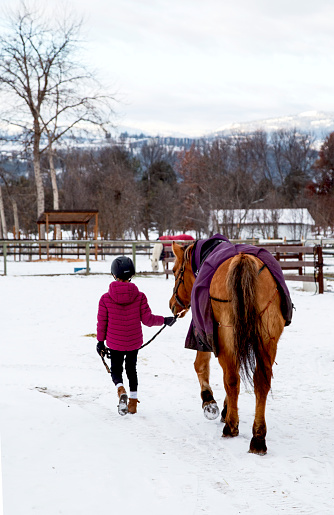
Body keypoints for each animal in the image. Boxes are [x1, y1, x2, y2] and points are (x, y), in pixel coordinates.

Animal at [170, 242, 288, 456]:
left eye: (175, 271)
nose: (172, 305)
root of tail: (242, 260)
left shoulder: (205, 335)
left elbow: (201, 366)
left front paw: (210, 403)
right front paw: (227, 408)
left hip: (227, 337)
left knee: (232, 379)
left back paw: (231, 427)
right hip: (267, 341)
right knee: (260, 382)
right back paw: (258, 437)